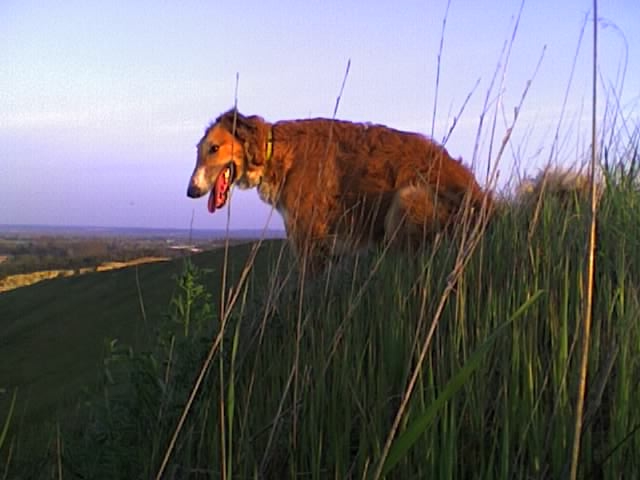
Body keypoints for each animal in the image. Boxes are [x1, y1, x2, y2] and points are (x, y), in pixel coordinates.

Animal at [188, 109, 492, 274]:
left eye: (214, 148)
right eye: (199, 150)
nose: (191, 191)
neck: (275, 152)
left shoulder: (309, 243)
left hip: (407, 200)